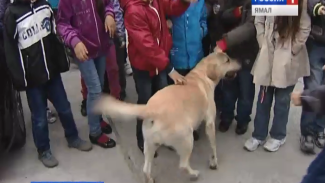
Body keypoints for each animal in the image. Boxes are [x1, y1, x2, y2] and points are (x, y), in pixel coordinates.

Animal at [93, 50, 240, 182]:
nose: (240, 62)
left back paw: (149, 179)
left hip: (149, 144)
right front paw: (214, 162)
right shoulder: (210, 122)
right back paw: (194, 174)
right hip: (187, 138)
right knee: (183, 165)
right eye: (227, 60)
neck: (202, 74)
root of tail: (151, 108)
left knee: (145, 169)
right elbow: (213, 146)